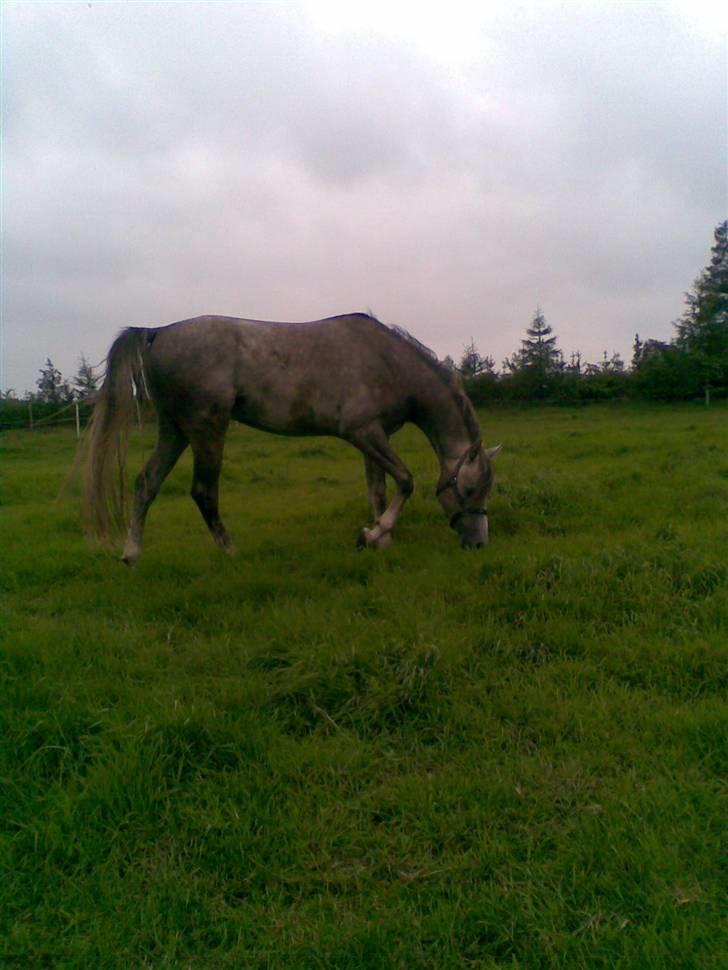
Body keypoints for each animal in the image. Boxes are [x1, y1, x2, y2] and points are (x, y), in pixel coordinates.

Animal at [82, 314, 498, 560]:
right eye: (469, 489)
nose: (479, 543)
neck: (386, 361)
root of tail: (157, 333)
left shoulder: (373, 438)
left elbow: (379, 490)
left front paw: (379, 537)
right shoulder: (362, 432)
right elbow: (406, 482)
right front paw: (371, 535)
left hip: (174, 430)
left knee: (146, 483)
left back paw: (132, 553)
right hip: (206, 429)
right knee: (203, 492)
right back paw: (231, 553)